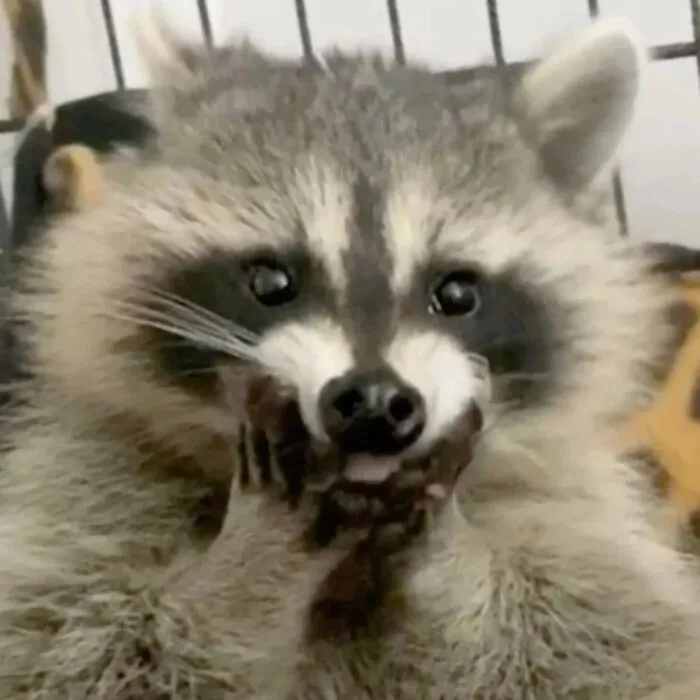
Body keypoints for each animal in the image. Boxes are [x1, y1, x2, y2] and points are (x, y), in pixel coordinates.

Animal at [0, 15, 698, 700]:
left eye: (457, 293)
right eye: (271, 281)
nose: (376, 403)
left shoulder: (575, 514)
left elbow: (586, 645)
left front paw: (445, 545)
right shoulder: (90, 483)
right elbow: (69, 647)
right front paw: (247, 567)